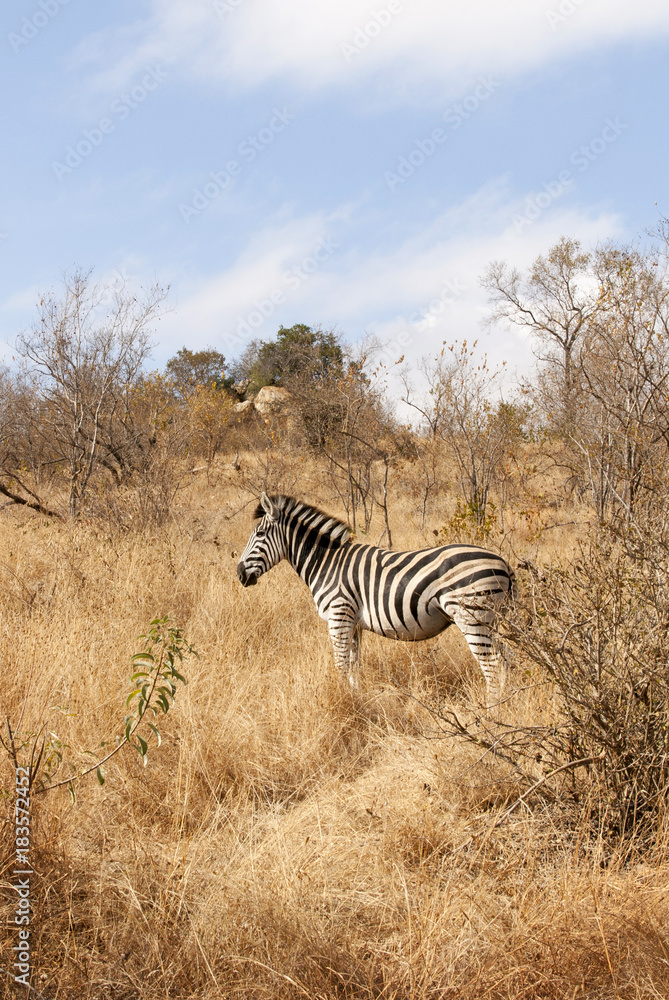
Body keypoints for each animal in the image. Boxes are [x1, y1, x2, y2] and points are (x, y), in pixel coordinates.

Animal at [237, 493, 516, 707]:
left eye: (260, 534)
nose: (239, 574)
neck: (327, 563)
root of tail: (503, 562)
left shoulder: (339, 616)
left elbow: (341, 665)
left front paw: (343, 701)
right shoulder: (353, 623)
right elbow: (354, 666)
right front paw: (355, 699)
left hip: (473, 617)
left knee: (493, 666)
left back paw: (491, 713)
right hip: (492, 622)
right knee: (506, 661)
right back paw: (507, 706)